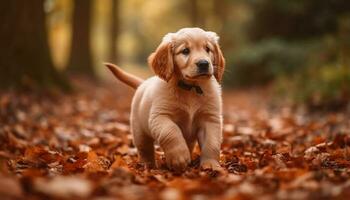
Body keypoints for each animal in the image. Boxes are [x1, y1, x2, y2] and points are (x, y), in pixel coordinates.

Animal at [104, 27, 224, 171]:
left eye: (207, 49)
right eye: (185, 51)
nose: (204, 63)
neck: (191, 89)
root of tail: (143, 83)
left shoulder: (210, 119)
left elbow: (211, 143)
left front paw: (211, 165)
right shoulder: (160, 116)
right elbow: (171, 132)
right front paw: (179, 157)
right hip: (139, 132)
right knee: (145, 149)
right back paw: (148, 165)